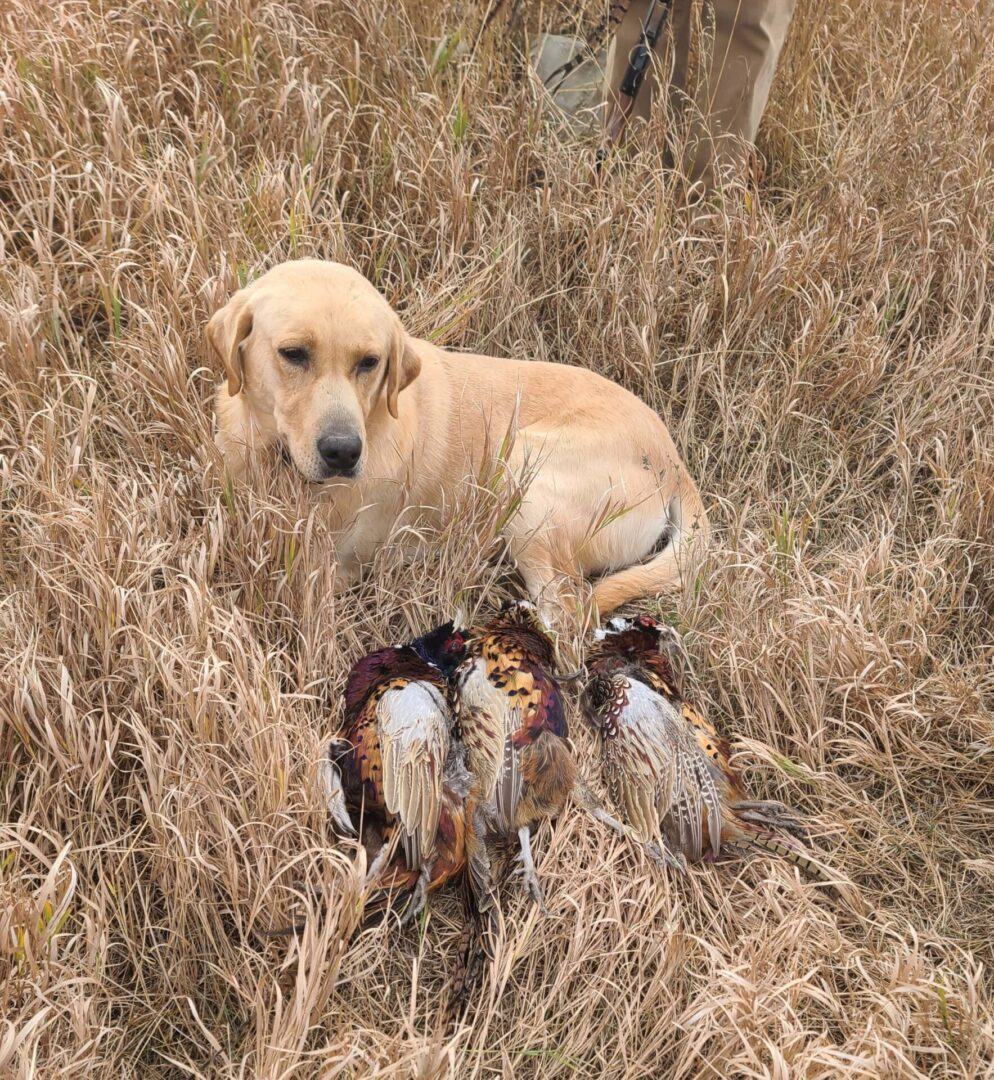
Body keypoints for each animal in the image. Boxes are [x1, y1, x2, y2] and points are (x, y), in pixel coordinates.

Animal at [209, 259, 708, 617]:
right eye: (293, 354)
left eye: (369, 362)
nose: (344, 453)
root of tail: (674, 464)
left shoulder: (330, 572)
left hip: (526, 475)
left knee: (569, 616)